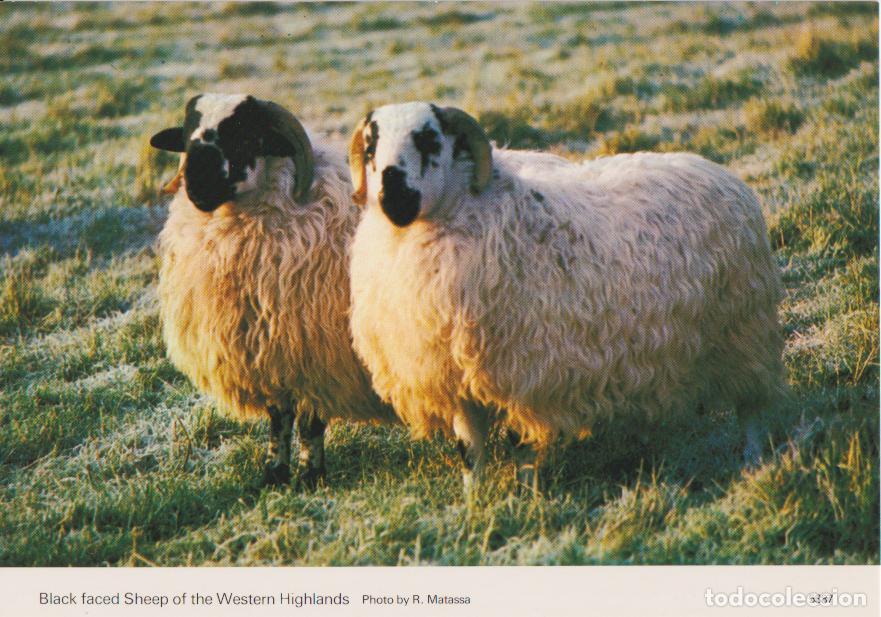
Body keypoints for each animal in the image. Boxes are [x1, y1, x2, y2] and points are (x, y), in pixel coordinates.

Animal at [149, 93, 396, 488]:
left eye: (244, 136)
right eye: (187, 138)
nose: (196, 184)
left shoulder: (314, 355)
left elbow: (310, 424)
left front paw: (311, 477)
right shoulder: (270, 353)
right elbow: (278, 421)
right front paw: (274, 475)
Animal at [347, 101, 785, 493]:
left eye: (429, 140)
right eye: (370, 148)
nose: (393, 198)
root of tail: (723, 174)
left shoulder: (522, 368)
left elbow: (520, 443)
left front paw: (526, 496)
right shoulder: (451, 376)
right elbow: (468, 452)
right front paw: (473, 502)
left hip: (743, 331)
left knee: (752, 408)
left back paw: (753, 462)